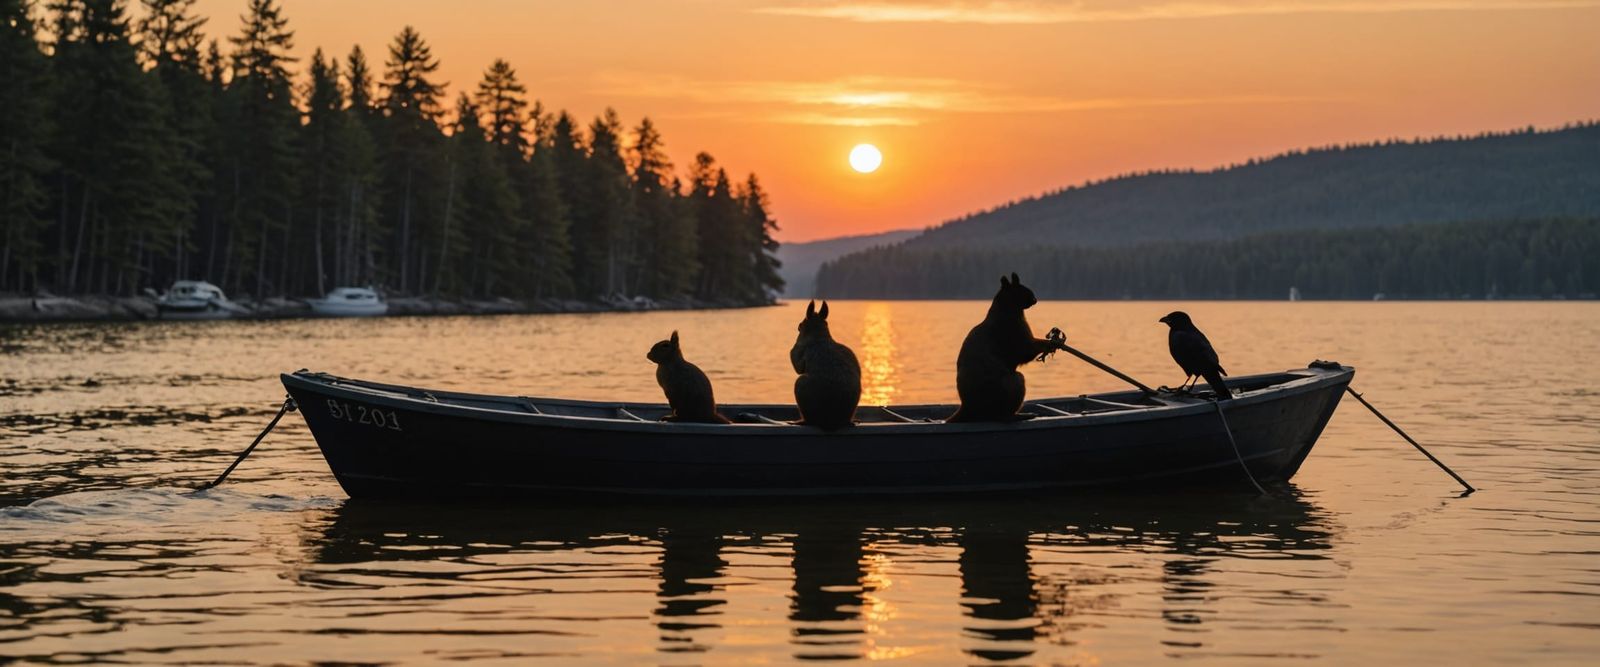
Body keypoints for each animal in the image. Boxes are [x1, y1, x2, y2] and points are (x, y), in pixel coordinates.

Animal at [790, 300, 861, 430]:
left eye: (801, 324)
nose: (798, 327)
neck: (820, 336)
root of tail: (832, 422)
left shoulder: (798, 353)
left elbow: (796, 361)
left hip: (800, 385)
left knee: (809, 419)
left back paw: (801, 421)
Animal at [947, 273, 1066, 423]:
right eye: (1025, 291)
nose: (1035, 299)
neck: (1009, 309)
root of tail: (966, 407)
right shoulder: (1019, 338)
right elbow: (1030, 349)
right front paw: (1054, 342)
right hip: (1015, 381)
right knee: (1003, 414)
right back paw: (1024, 415)